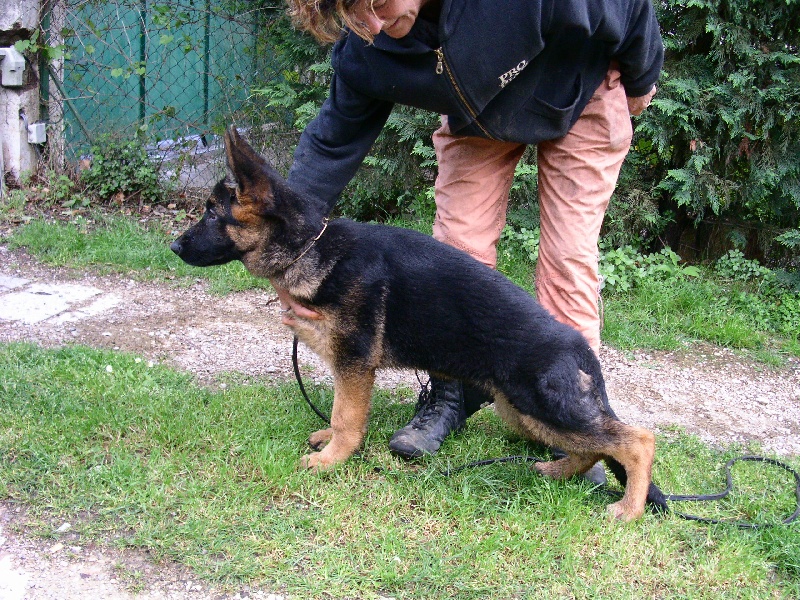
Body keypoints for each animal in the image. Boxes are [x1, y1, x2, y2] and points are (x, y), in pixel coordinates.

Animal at [172, 127, 664, 520]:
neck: (311, 245)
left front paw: (332, 459)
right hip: (522, 408)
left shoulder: (354, 364)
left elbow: (346, 416)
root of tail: (579, 347)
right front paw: (328, 441)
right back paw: (557, 469)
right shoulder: (350, 367)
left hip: (544, 404)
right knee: (593, 447)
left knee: (637, 441)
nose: (174, 247)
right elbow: (339, 412)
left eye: (212, 213)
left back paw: (629, 508)